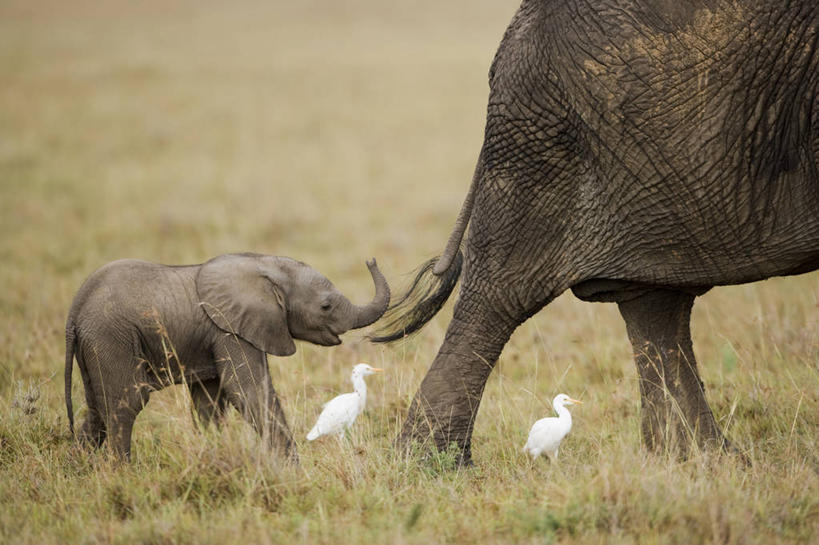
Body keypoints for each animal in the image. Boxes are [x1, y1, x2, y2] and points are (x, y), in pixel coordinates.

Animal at [64, 252, 390, 460]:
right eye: (325, 306)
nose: (370, 259)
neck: (264, 264)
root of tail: (75, 308)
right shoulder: (230, 329)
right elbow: (248, 391)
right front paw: (292, 469)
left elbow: (209, 403)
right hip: (111, 338)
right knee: (125, 404)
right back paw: (123, 471)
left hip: (97, 344)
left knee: (96, 409)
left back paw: (81, 470)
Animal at [374, 1, 819, 464]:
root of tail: (514, 32)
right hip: (544, 139)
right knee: (499, 292)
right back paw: (434, 463)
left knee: (656, 300)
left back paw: (703, 461)